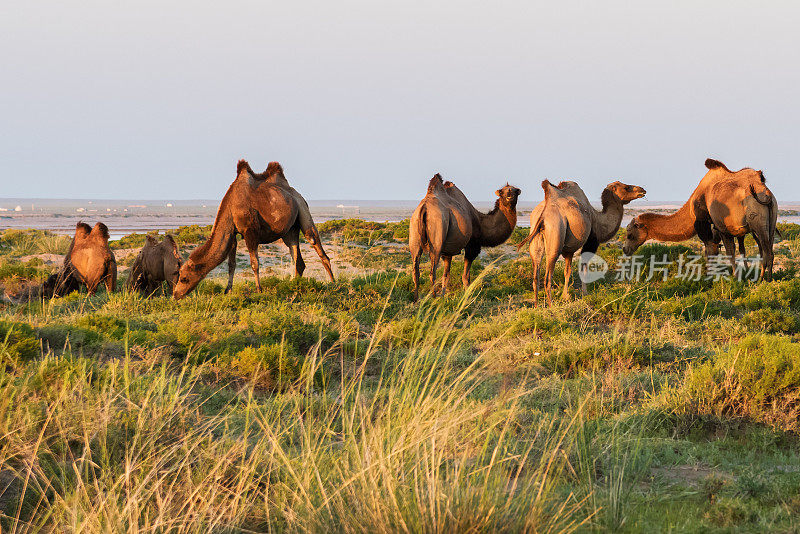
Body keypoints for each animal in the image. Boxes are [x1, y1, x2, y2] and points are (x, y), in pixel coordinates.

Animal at [173, 159, 336, 302]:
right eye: (180, 276)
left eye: (184, 278)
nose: (175, 295)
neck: (231, 207)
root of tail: (295, 193)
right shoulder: (233, 234)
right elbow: (231, 264)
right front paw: (228, 290)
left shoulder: (250, 232)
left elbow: (254, 263)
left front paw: (259, 289)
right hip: (290, 230)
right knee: (296, 256)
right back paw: (293, 286)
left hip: (303, 210)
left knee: (315, 242)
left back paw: (334, 284)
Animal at [520, 180, 648, 306]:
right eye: (626, 187)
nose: (642, 190)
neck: (598, 219)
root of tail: (543, 214)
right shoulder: (590, 241)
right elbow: (583, 268)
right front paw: (584, 294)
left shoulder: (569, 249)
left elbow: (567, 271)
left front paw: (565, 296)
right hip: (556, 234)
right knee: (547, 277)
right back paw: (551, 306)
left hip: (535, 238)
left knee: (536, 275)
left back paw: (536, 305)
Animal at [620, 160, 780, 280]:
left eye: (629, 233)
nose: (625, 249)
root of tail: (766, 193)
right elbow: (730, 251)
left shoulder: (713, 227)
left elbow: (717, 252)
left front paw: (728, 278)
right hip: (771, 220)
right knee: (768, 250)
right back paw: (767, 278)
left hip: (757, 222)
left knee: (766, 251)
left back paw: (761, 280)